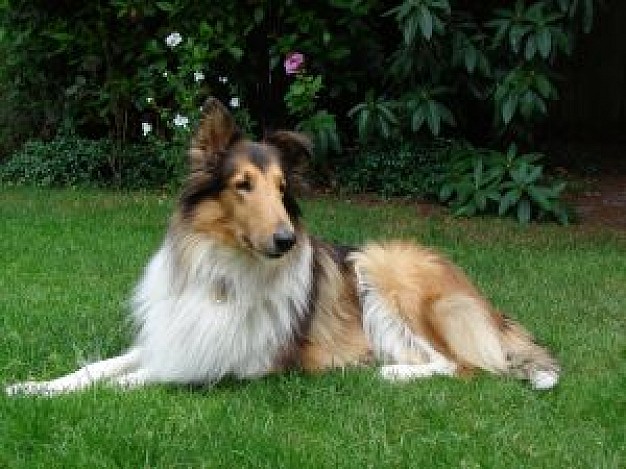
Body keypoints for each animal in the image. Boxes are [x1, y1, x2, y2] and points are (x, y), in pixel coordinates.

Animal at [4, 98, 560, 394]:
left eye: (281, 188)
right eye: (242, 185)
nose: (286, 240)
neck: (225, 269)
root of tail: (486, 305)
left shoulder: (229, 362)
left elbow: (137, 380)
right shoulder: (175, 335)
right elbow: (98, 368)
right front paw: (33, 388)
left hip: (383, 267)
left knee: (460, 365)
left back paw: (390, 372)